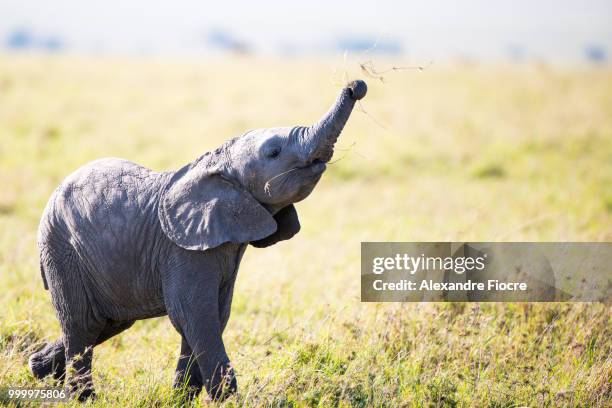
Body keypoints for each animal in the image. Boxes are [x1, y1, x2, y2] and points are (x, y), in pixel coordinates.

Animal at [29, 80, 368, 402]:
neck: (215, 165)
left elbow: (214, 316)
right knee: (82, 323)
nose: (356, 86)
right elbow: (195, 316)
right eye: (273, 153)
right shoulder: (183, 251)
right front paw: (228, 401)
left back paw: (36, 367)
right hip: (61, 249)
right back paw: (81, 397)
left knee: (108, 321)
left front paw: (180, 399)